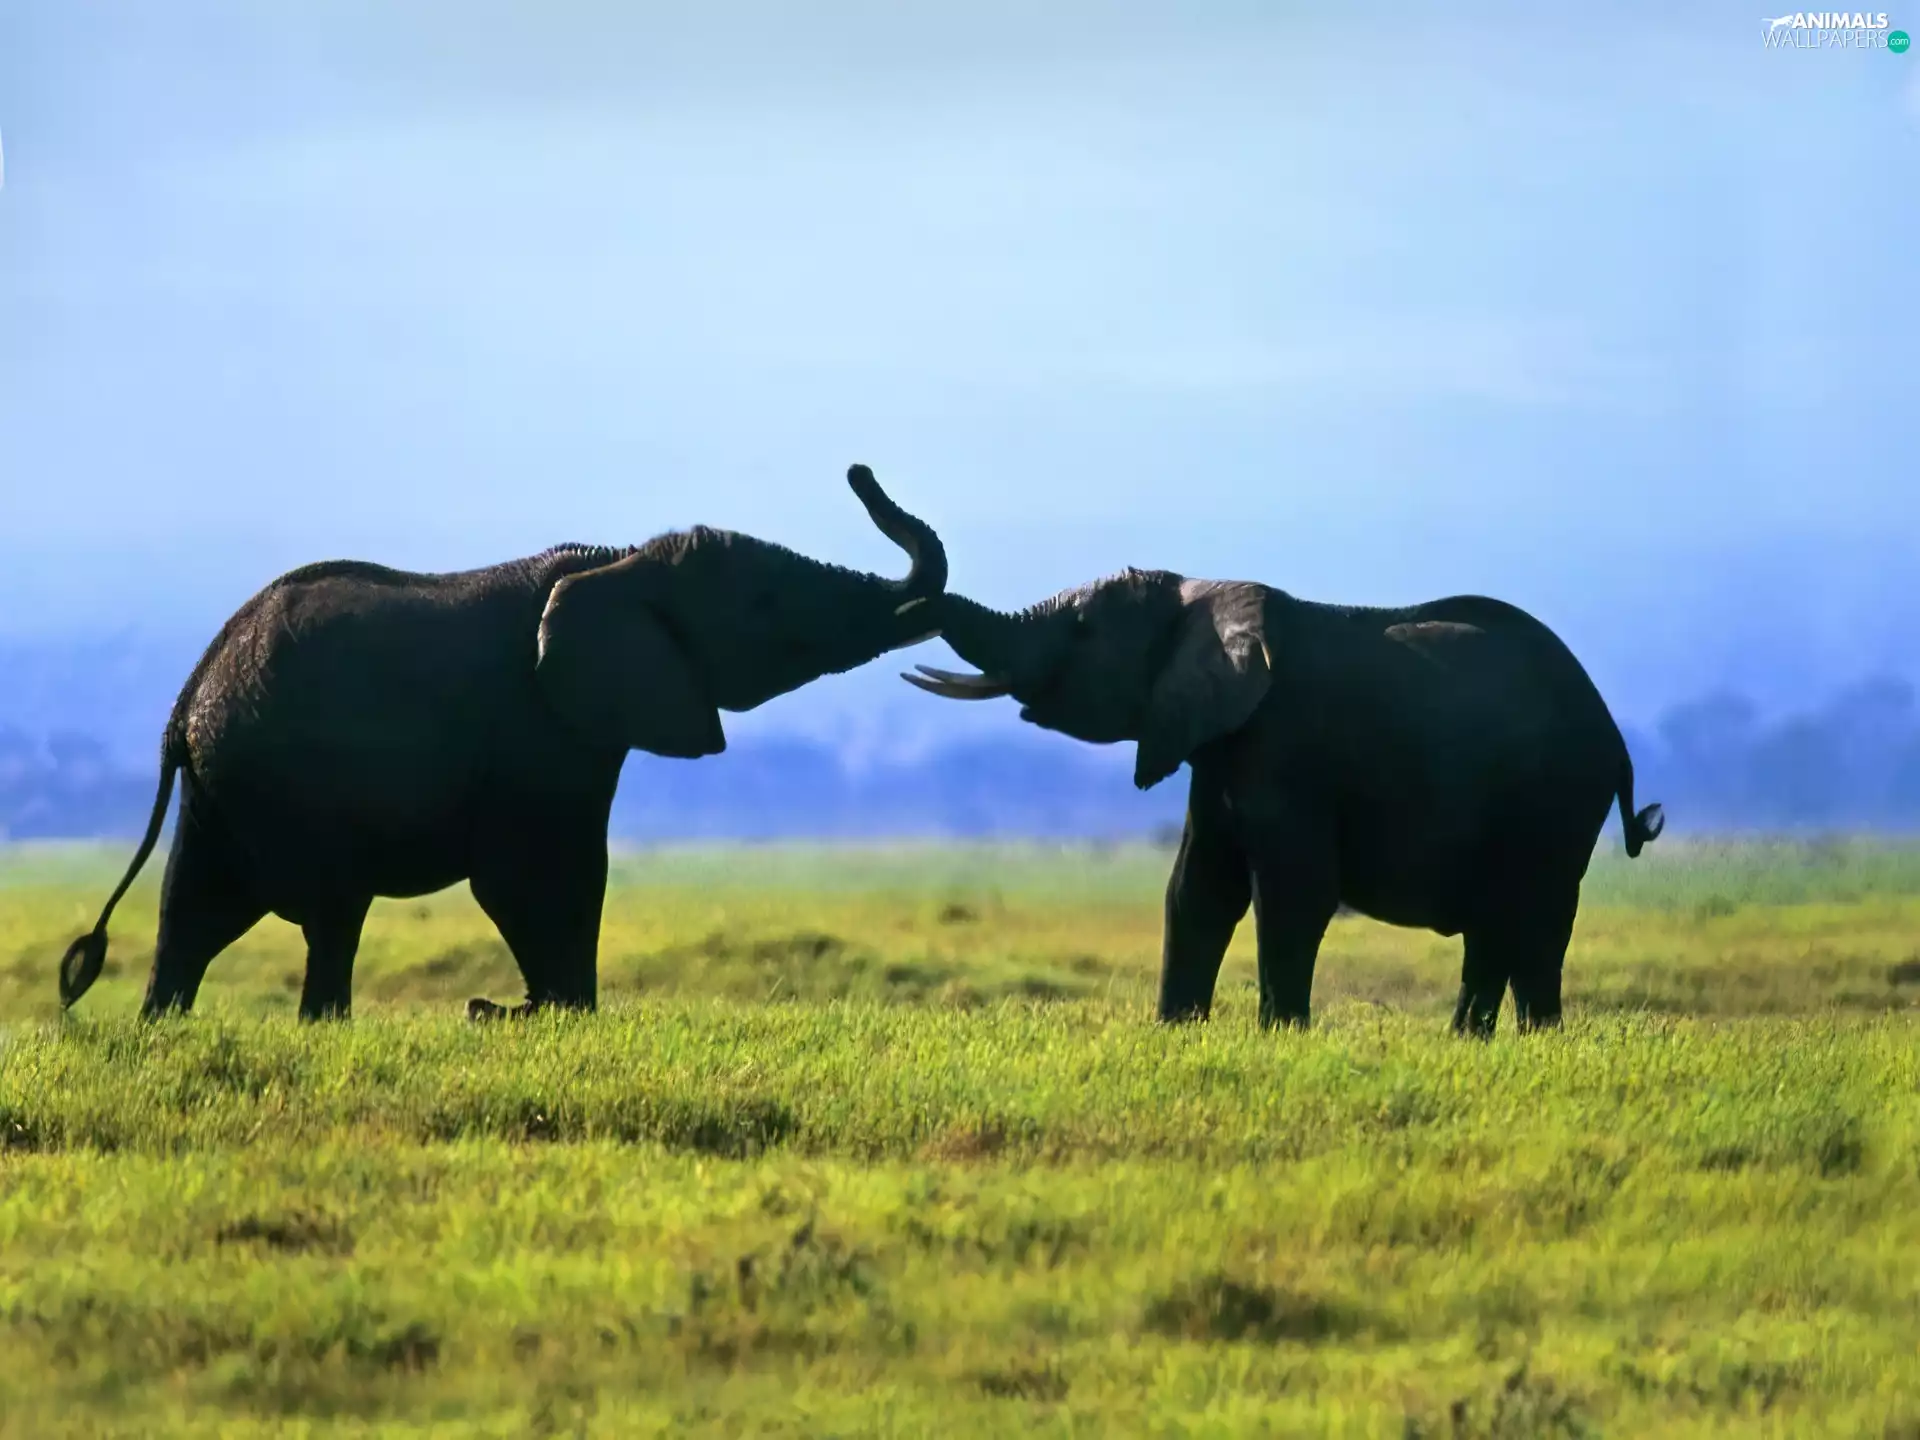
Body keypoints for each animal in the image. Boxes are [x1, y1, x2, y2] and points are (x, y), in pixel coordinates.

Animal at [60, 464, 946, 1022]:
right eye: (766, 608)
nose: (859, 471)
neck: (621, 559)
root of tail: (186, 700)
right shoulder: (537, 729)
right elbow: (541, 874)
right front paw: (557, 1017)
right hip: (284, 779)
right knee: (324, 912)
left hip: (228, 785)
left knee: (196, 910)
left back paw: (166, 1031)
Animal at [903, 569, 1664, 1036]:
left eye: (1084, 629)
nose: (906, 607)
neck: (1200, 592)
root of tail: (1616, 739)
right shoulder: (1217, 748)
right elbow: (1197, 889)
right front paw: (1174, 1032)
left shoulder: (1287, 750)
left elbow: (1292, 894)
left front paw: (1279, 1037)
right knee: (1511, 928)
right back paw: (1495, 1043)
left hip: (1554, 798)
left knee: (1526, 918)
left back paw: (1503, 1040)